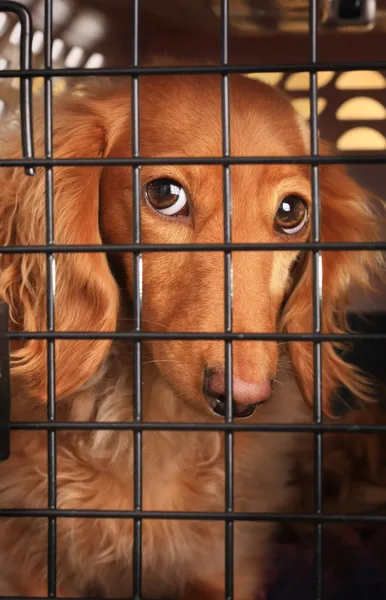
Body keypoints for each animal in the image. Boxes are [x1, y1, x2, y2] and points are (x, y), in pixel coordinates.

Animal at [0, 68, 382, 596]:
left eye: (291, 212)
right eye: (165, 194)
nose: (241, 397)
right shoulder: (28, 562)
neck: (156, 423)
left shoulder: (228, 562)